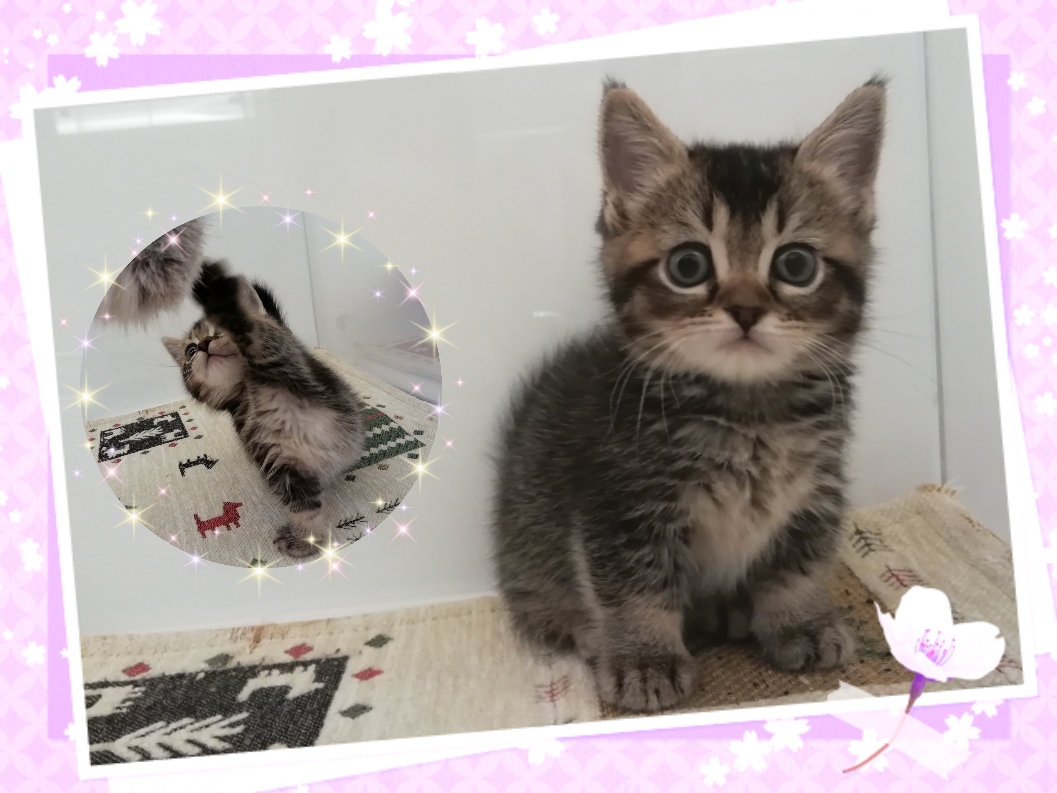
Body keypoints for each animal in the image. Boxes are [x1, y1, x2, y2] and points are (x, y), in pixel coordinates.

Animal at [163, 262, 365, 559]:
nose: (203, 345)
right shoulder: (280, 461)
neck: (250, 391)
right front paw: (305, 538)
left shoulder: (289, 362)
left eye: (219, 328)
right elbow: (300, 504)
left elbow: (257, 333)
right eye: (190, 351)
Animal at [491, 78, 886, 713]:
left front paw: (801, 622)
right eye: (688, 264)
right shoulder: (619, 508)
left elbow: (797, 564)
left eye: (796, 264)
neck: (749, 414)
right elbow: (633, 589)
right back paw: (589, 632)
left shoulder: (816, 490)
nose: (746, 309)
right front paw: (644, 660)